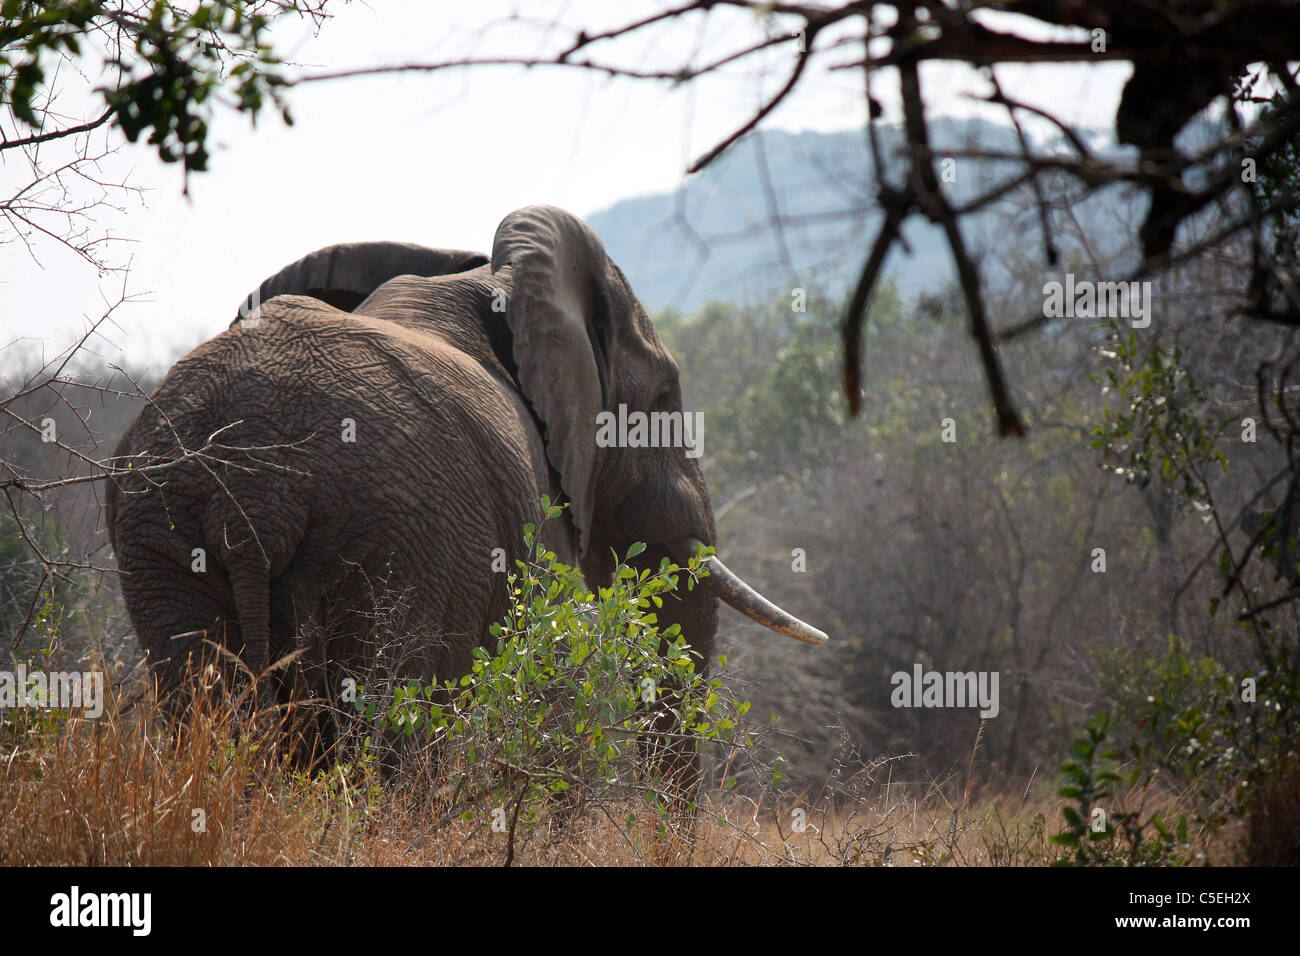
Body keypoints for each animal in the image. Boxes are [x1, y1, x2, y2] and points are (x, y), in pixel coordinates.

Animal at [106, 205, 826, 781]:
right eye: (664, 400)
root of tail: (252, 496)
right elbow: (548, 685)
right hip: (400, 545)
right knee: (386, 729)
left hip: (160, 534)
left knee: (198, 695)